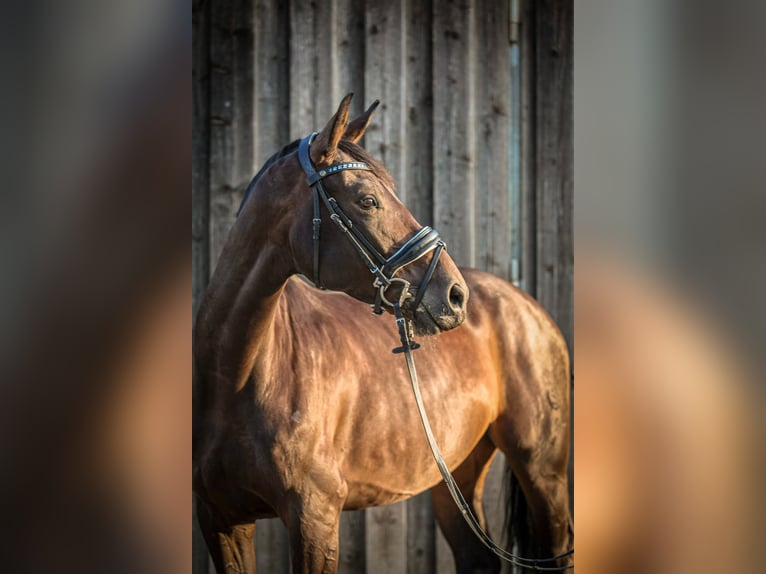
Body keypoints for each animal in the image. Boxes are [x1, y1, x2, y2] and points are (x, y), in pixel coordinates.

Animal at [193, 94, 573, 573]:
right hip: (458, 475)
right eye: (368, 199)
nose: (455, 296)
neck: (235, 378)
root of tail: (527, 305)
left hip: (543, 472)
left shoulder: (315, 517)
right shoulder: (221, 519)